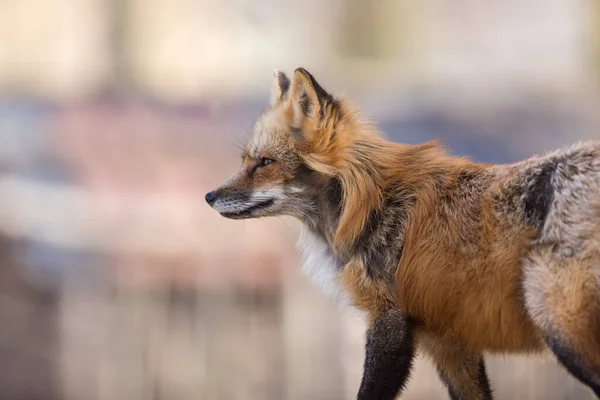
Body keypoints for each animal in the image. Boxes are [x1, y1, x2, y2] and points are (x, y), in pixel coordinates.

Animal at [207, 67, 600, 398]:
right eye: (246, 160)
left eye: (264, 163)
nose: (209, 196)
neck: (370, 205)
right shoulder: (447, 342)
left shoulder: (388, 323)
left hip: (558, 325)